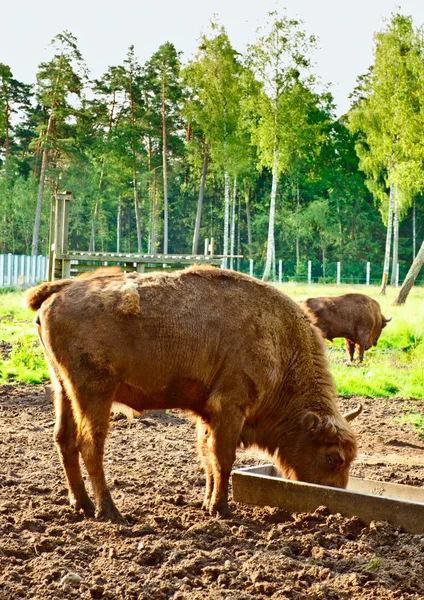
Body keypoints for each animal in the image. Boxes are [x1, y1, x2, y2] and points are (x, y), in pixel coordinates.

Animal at [24, 268, 360, 520]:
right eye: (333, 457)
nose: (332, 499)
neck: (279, 339)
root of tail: (60, 290)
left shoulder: (208, 413)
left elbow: (208, 457)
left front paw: (207, 503)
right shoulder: (230, 407)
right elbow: (223, 458)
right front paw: (221, 508)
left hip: (63, 389)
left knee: (64, 439)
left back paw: (82, 504)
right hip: (94, 393)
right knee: (90, 445)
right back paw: (109, 511)